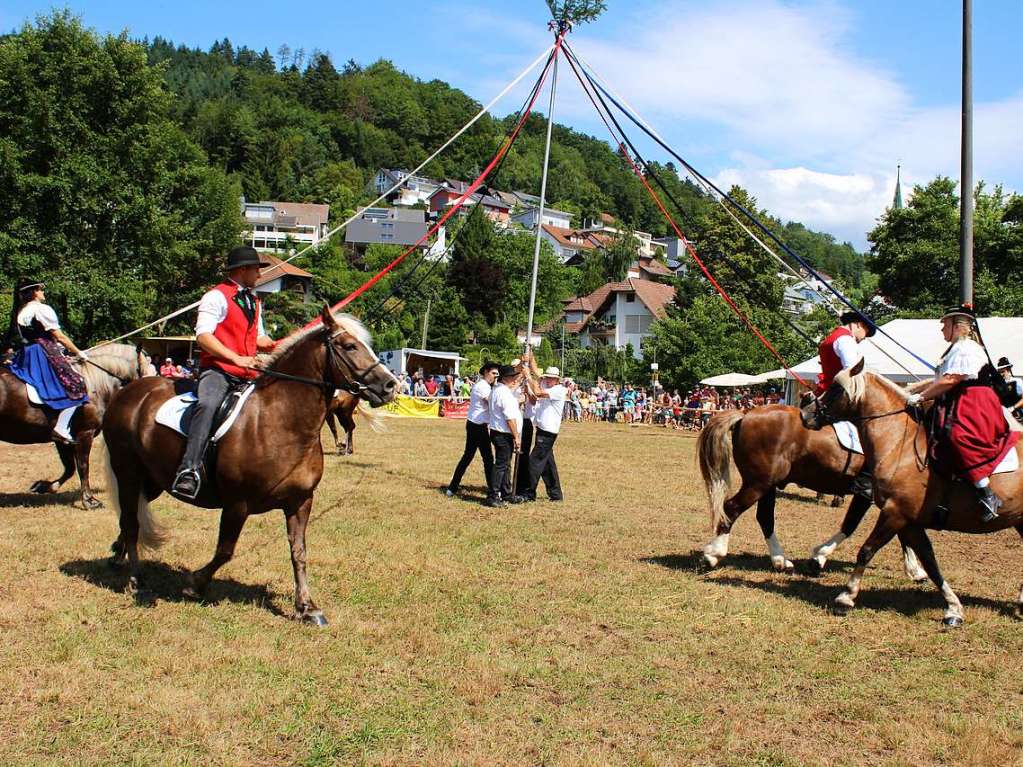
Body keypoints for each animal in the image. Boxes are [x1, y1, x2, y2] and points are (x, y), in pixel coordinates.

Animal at [0, 347, 153, 511]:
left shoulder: (63, 440)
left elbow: (69, 468)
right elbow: (83, 466)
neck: (94, 383)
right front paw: (90, 500)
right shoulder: (85, 434)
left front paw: (44, 486)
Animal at [100, 308, 394, 625]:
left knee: (130, 518)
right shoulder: (237, 504)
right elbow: (225, 551)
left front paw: (307, 606)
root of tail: (129, 391)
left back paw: (117, 555)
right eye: (350, 346)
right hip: (128, 473)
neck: (281, 420)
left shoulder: (300, 501)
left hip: (153, 480)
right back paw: (136, 580)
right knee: (131, 523)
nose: (390, 385)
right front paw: (195, 584)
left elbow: (299, 551)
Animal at [699, 404, 924, 580]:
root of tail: (747, 412)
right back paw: (714, 554)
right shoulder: (868, 494)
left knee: (764, 518)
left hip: (767, 485)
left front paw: (916, 570)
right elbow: (851, 525)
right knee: (731, 508)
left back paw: (780, 561)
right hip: (757, 484)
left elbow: (902, 532)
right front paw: (818, 558)